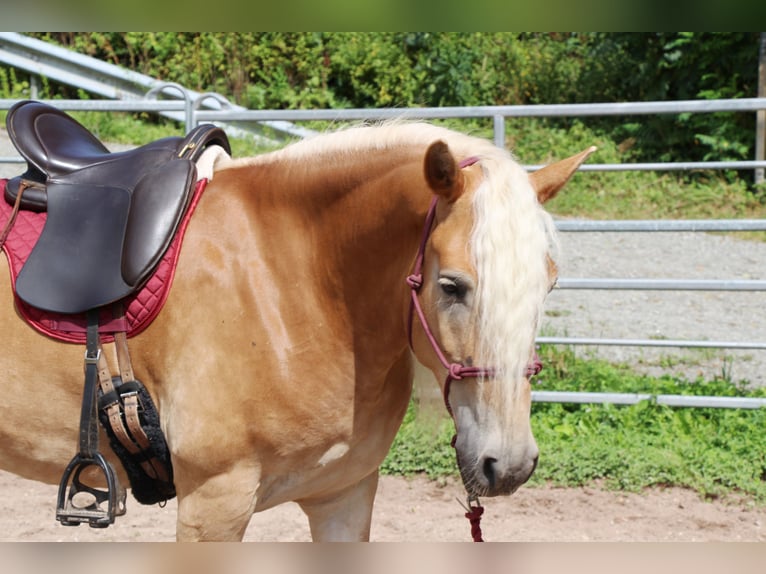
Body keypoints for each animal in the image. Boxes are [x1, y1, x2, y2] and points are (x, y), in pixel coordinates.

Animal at [0, 119, 592, 544]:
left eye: (548, 285)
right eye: (451, 286)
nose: (509, 464)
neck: (290, 282)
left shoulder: (344, 497)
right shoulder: (213, 504)